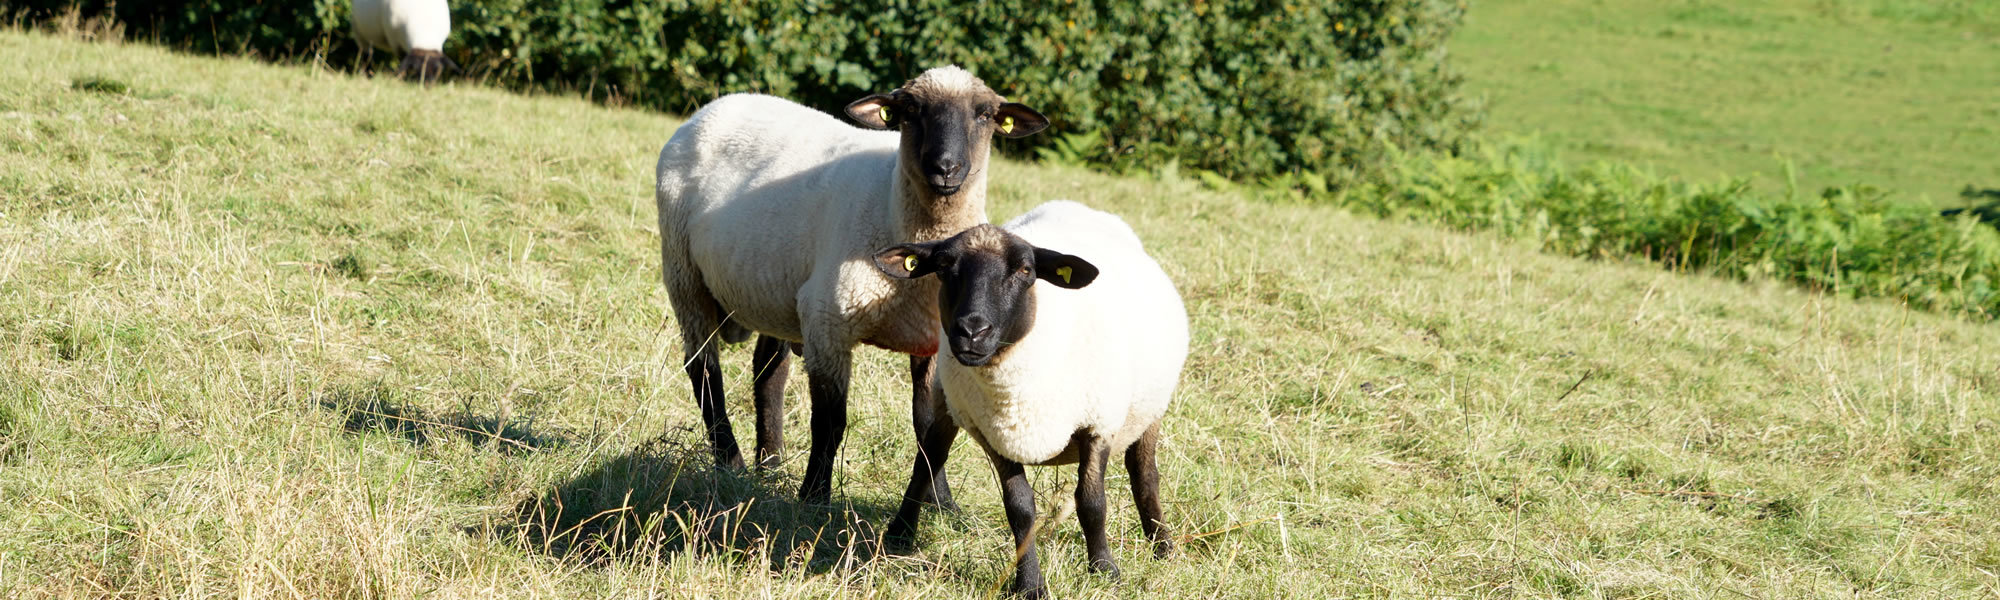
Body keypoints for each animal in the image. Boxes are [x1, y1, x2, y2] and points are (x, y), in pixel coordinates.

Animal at [660, 65, 1064, 504]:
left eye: (985, 114)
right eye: (910, 110)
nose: (946, 167)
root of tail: (715, 106)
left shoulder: (934, 340)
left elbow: (926, 424)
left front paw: (941, 502)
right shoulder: (827, 324)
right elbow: (829, 422)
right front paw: (814, 497)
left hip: (775, 291)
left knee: (768, 371)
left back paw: (770, 466)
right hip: (683, 272)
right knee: (703, 368)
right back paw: (730, 461)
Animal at [876, 202, 1184, 600]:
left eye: (1026, 270)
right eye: (943, 267)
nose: (972, 331)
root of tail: (1075, 206)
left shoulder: (1097, 424)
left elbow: (1092, 502)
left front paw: (1104, 569)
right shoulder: (996, 433)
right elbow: (1020, 510)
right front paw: (1030, 585)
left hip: (1148, 409)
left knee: (1144, 474)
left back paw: (1162, 545)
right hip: (948, 400)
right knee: (928, 458)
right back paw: (900, 533)